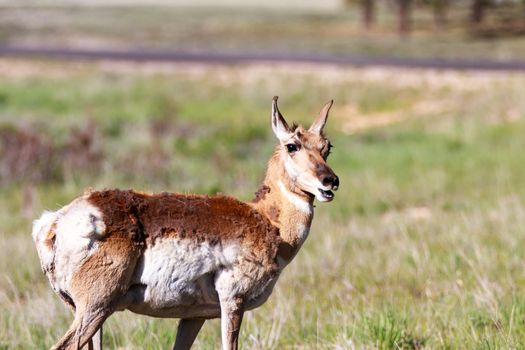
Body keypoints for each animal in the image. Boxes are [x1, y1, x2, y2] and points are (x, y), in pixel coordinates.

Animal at [32, 96, 338, 350]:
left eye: (327, 147)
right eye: (292, 145)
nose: (331, 181)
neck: (266, 219)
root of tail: (55, 221)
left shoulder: (194, 316)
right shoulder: (233, 301)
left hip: (93, 313)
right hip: (96, 307)